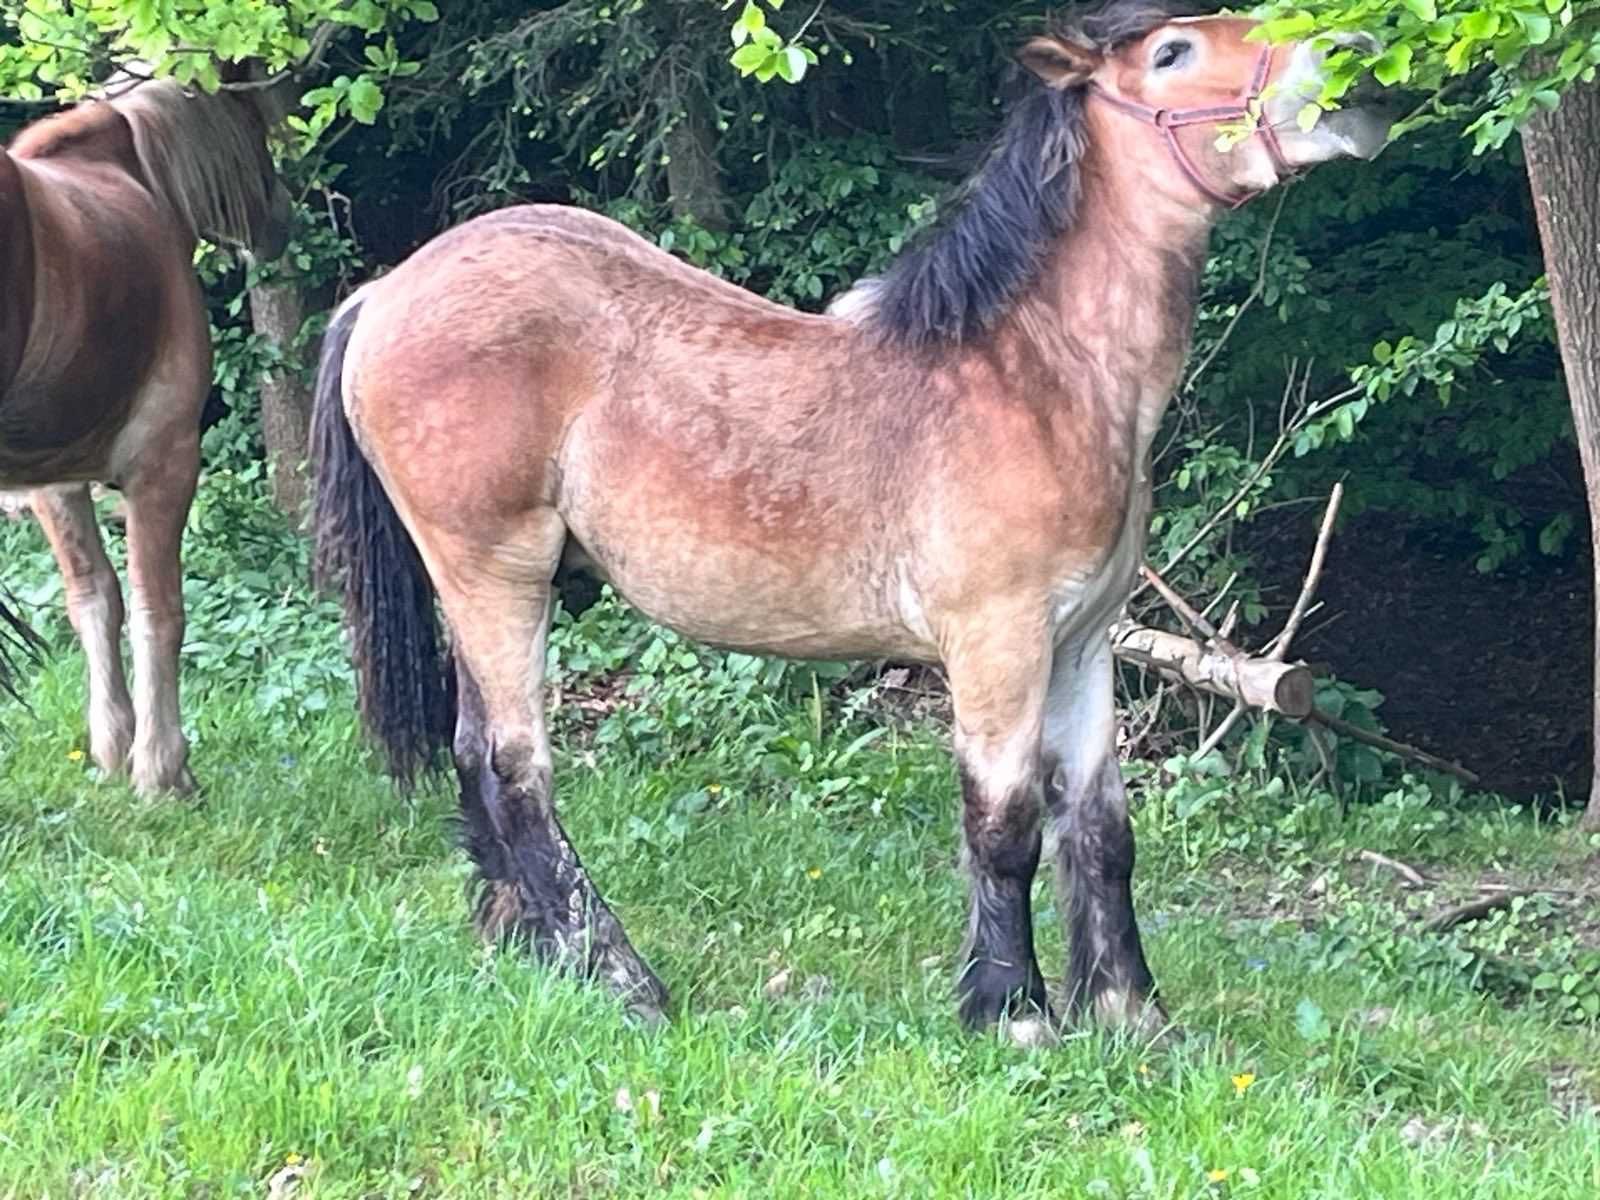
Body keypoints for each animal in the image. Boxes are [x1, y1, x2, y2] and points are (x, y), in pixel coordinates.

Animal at [1, 68, 296, 800]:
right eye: (256, 116)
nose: (282, 219)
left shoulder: (56, 482)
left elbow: (94, 600)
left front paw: (113, 750)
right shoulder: (164, 460)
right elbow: (158, 608)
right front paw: (163, 770)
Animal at [312, 2, 1388, 1043]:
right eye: (1170, 54)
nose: (1361, 67)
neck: (1036, 381)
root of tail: (387, 291)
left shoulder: (1082, 645)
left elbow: (1101, 830)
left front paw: (1133, 1019)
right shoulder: (997, 642)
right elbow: (1004, 825)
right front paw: (1015, 1015)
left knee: (472, 754)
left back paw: (528, 945)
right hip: (496, 572)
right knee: (515, 765)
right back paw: (621, 978)